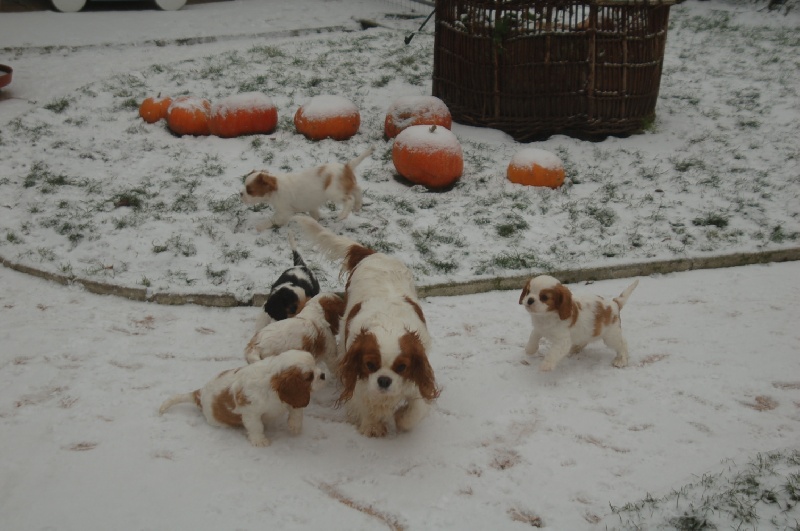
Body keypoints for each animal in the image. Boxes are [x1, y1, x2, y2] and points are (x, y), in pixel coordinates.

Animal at [159, 352, 324, 446]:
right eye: (309, 377)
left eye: (317, 365)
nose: (323, 375)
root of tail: (199, 393)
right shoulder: (251, 412)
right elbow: (256, 426)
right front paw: (260, 441)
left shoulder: (291, 397)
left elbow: (297, 411)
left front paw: (295, 426)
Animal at [239, 145, 374, 231]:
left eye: (249, 191)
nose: (240, 194)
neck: (275, 187)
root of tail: (345, 167)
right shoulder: (310, 206)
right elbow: (314, 214)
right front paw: (315, 222)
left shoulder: (283, 212)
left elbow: (272, 220)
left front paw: (259, 227)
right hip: (346, 186)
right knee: (358, 189)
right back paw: (358, 206)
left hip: (333, 192)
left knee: (349, 198)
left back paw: (343, 215)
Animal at [294, 214, 440, 438]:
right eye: (370, 365)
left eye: (402, 367)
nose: (384, 380)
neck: (388, 323)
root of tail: (372, 253)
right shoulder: (358, 378)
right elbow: (363, 402)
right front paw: (372, 426)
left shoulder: (418, 374)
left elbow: (414, 411)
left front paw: (401, 418)